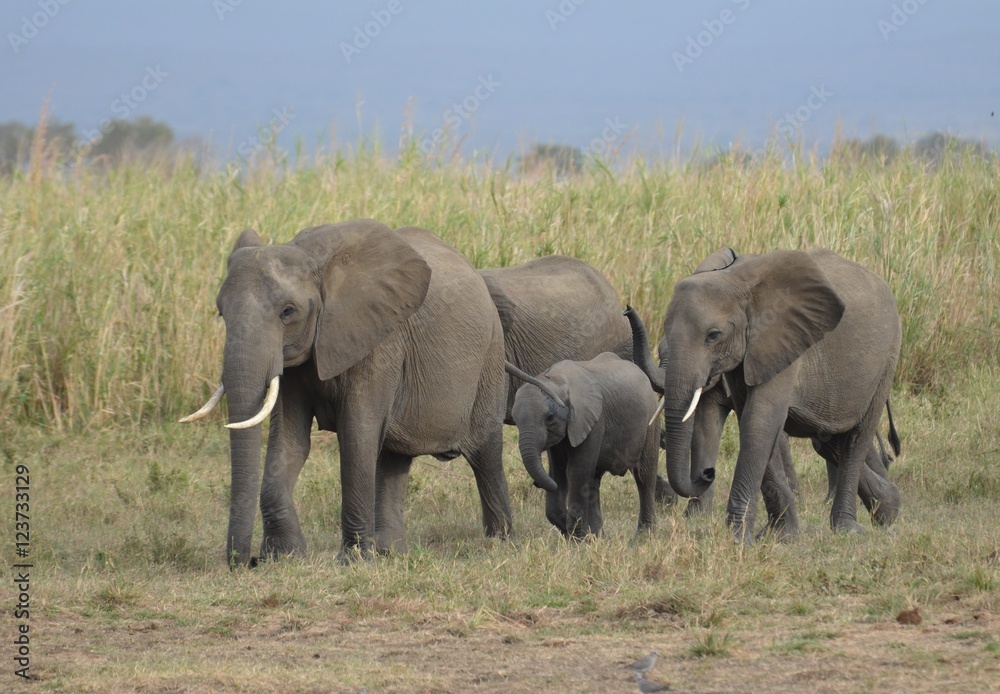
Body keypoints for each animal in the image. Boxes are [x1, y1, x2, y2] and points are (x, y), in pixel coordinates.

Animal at [180, 220, 512, 568]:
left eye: (288, 312)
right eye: (220, 312)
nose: (247, 561)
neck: (311, 259)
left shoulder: (379, 340)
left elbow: (357, 435)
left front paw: (352, 561)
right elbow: (289, 441)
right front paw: (284, 556)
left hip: (490, 357)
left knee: (486, 453)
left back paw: (499, 541)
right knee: (395, 458)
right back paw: (390, 551)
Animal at [508, 354, 664, 540]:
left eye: (550, 418)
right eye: (515, 421)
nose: (535, 483)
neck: (557, 380)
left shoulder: (593, 420)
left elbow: (576, 472)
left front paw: (578, 540)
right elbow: (559, 473)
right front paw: (583, 537)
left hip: (651, 419)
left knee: (644, 476)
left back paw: (643, 536)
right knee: (594, 482)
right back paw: (600, 538)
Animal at [632, 247, 908, 540]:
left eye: (713, 335)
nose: (708, 473)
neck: (734, 279)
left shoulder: (783, 339)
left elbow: (759, 421)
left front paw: (738, 538)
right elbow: (733, 425)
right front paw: (780, 534)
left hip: (887, 358)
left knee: (856, 438)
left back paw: (850, 528)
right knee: (827, 439)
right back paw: (888, 508)